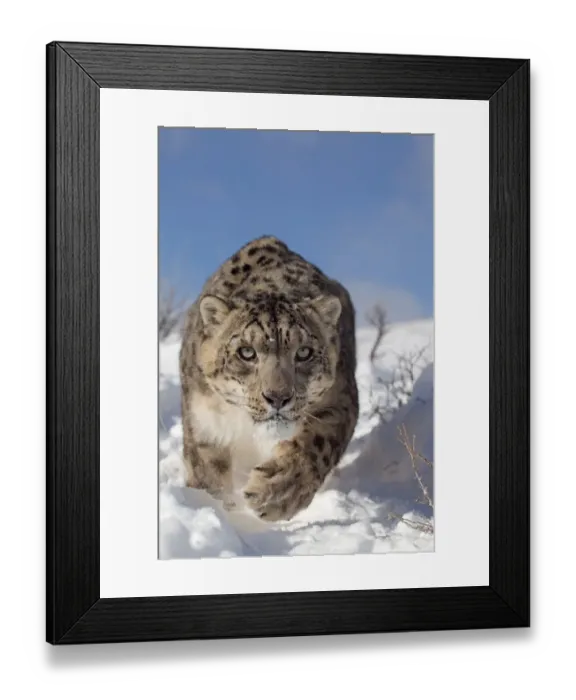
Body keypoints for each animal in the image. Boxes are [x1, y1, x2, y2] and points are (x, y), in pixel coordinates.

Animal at [178, 236, 359, 524]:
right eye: (246, 352)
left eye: (304, 352)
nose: (278, 397)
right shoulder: (205, 425)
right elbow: (210, 480)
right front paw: (223, 517)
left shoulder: (340, 398)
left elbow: (317, 444)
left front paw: (274, 494)